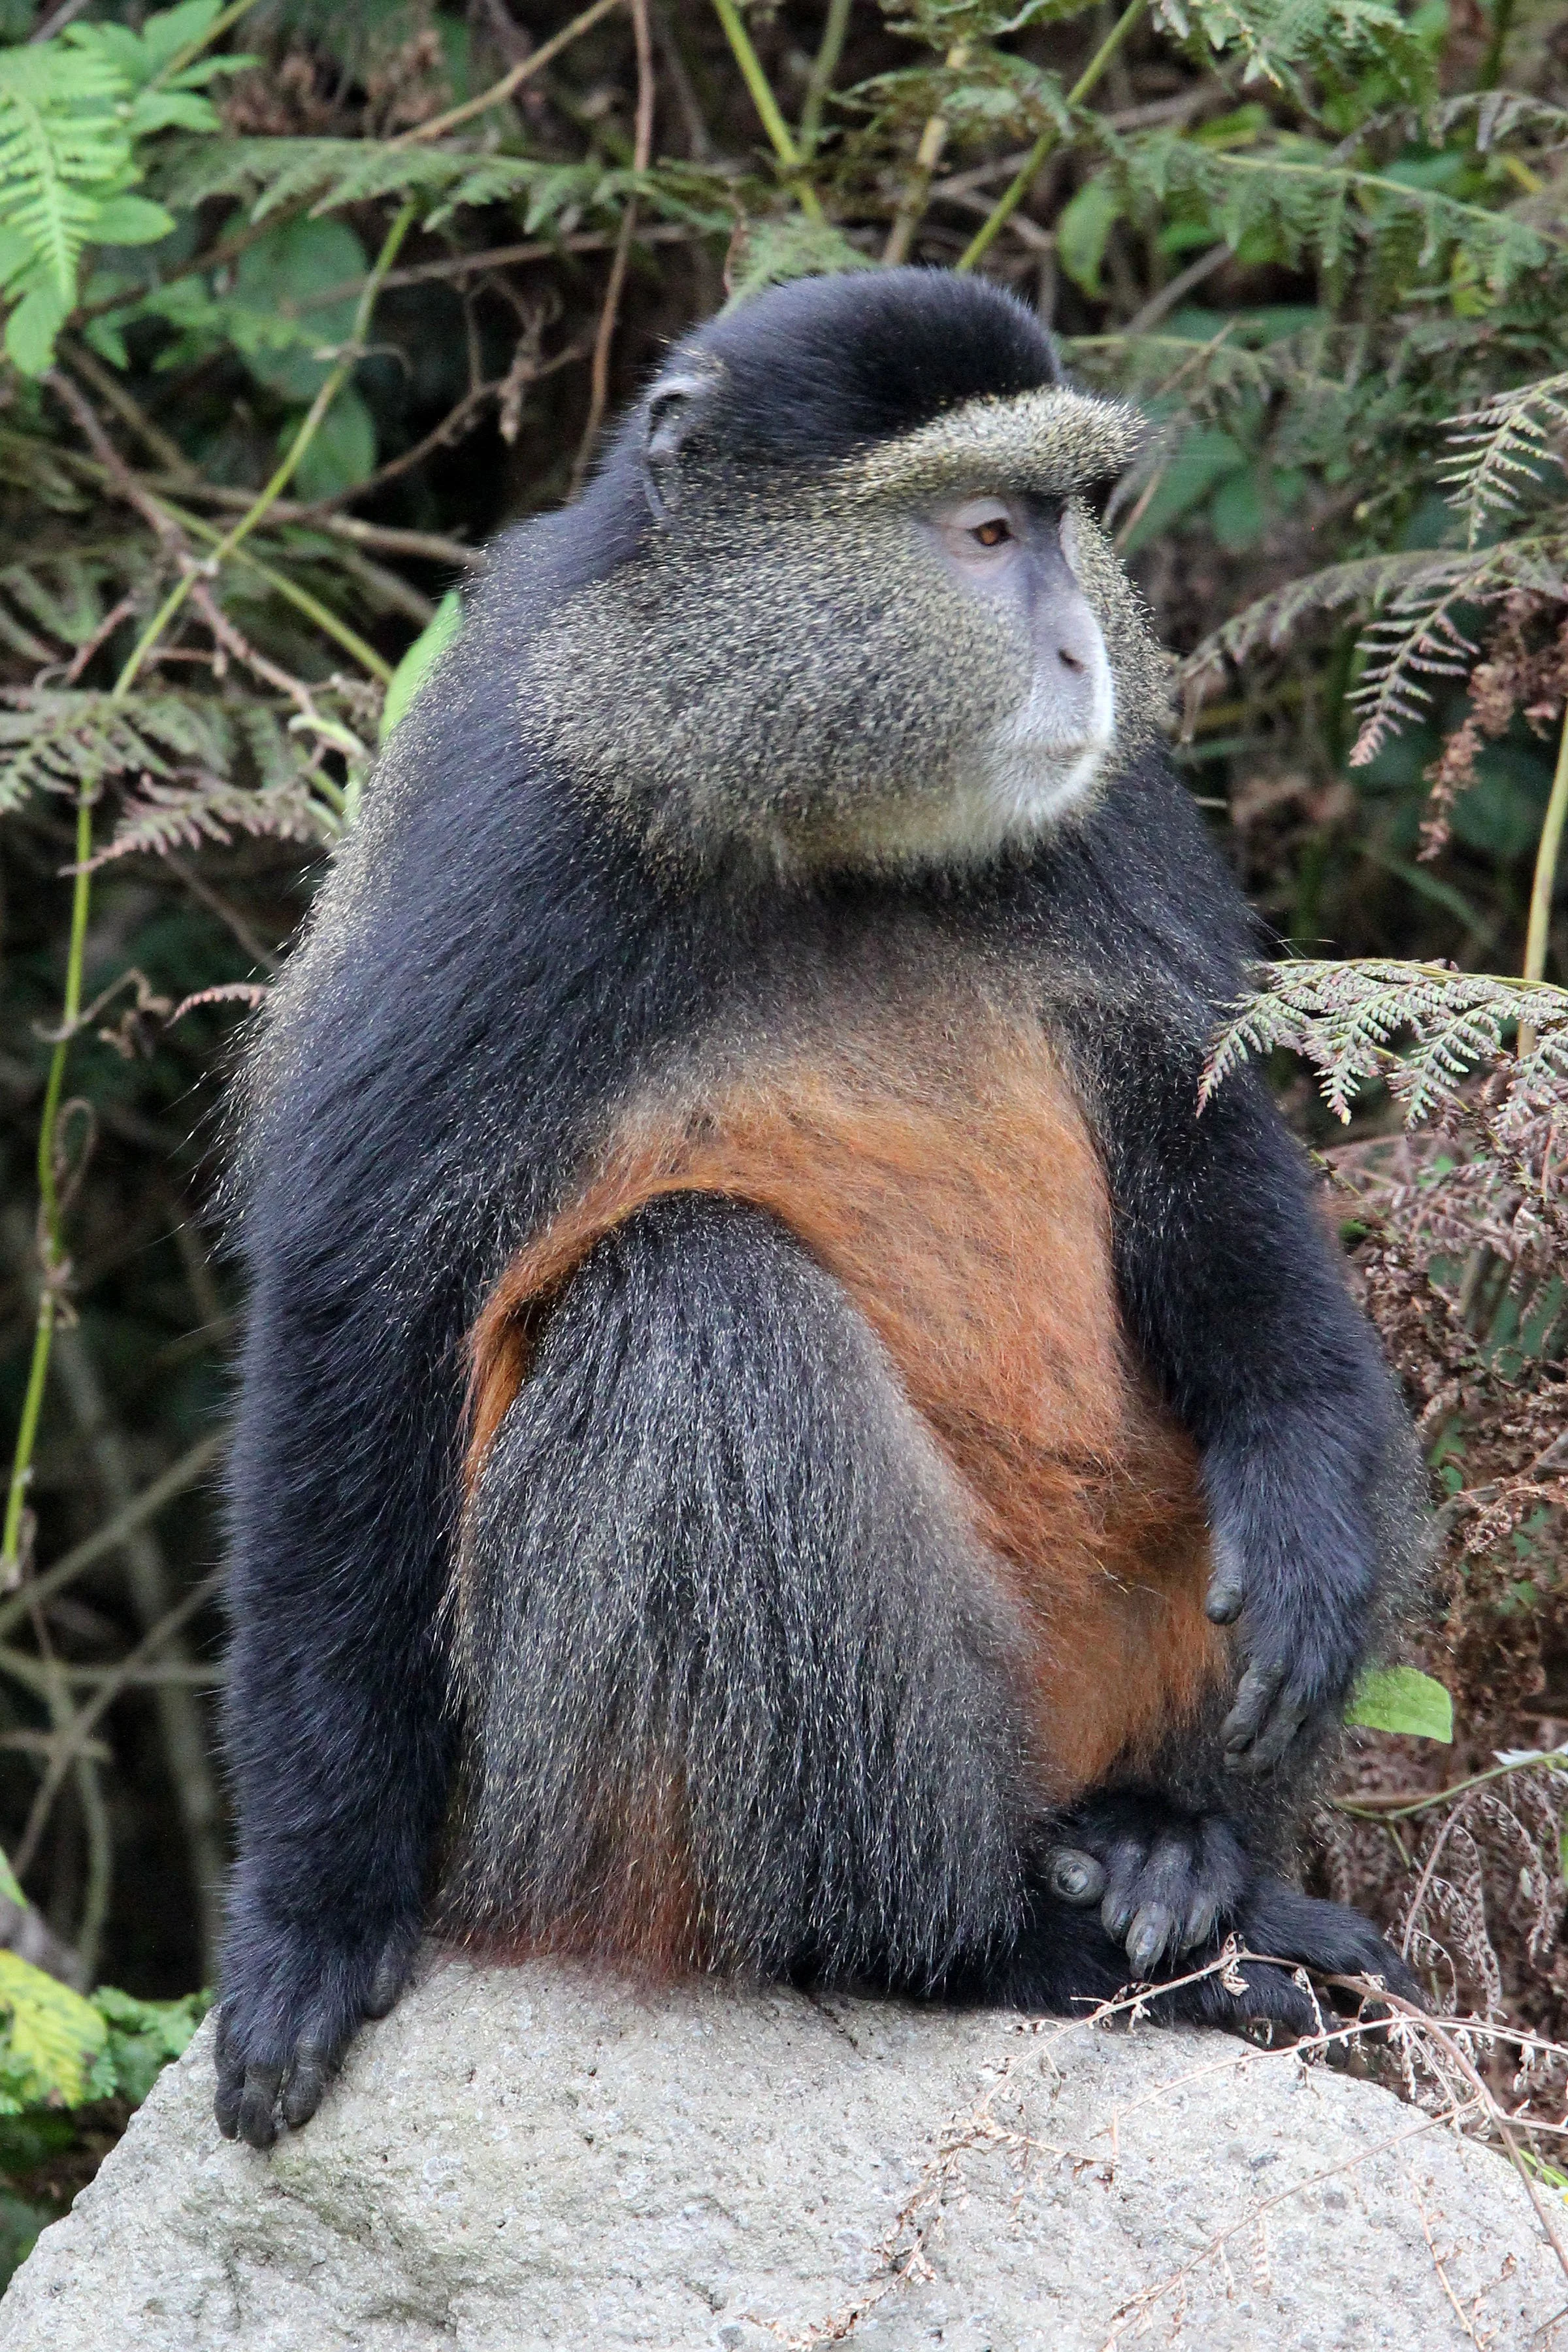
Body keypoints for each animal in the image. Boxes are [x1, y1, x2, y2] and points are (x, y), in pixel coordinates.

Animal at [214, 266, 1426, 2152]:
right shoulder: (519, 837)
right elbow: (364, 1280)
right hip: (554, 1815)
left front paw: (1298, 1487)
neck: (830, 829)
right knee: (694, 1302)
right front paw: (311, 1910)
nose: (1080, 652)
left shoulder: (1119, 817)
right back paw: (982, 1942)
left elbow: (1190, 1130)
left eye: (1064, 524)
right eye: (981, 531)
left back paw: (1173, 1853)